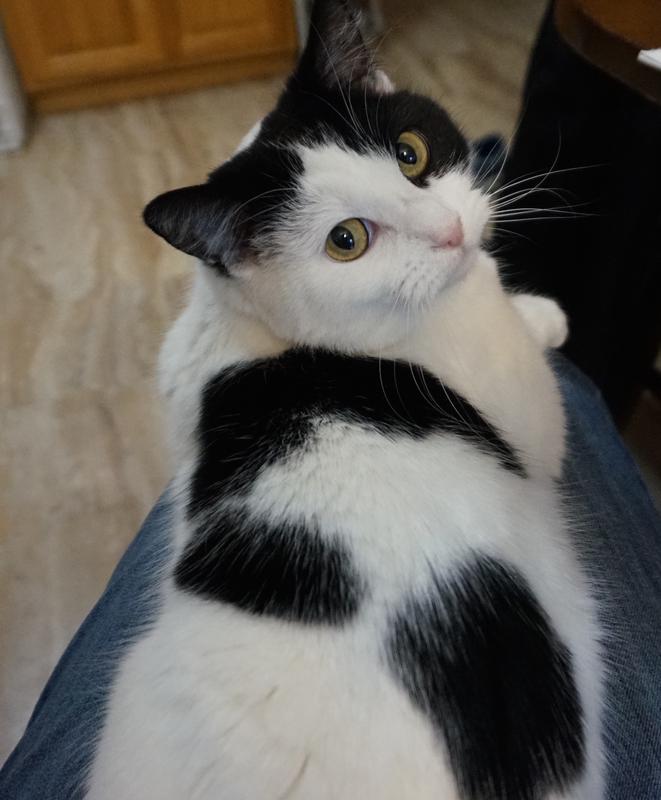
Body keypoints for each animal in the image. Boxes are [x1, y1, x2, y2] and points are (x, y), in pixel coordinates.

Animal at [86, 3, 604, 796]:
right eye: (346, 240)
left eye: (411, 154)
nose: (452, 233)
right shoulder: (520, 399)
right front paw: (543, 313)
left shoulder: (175, 366)